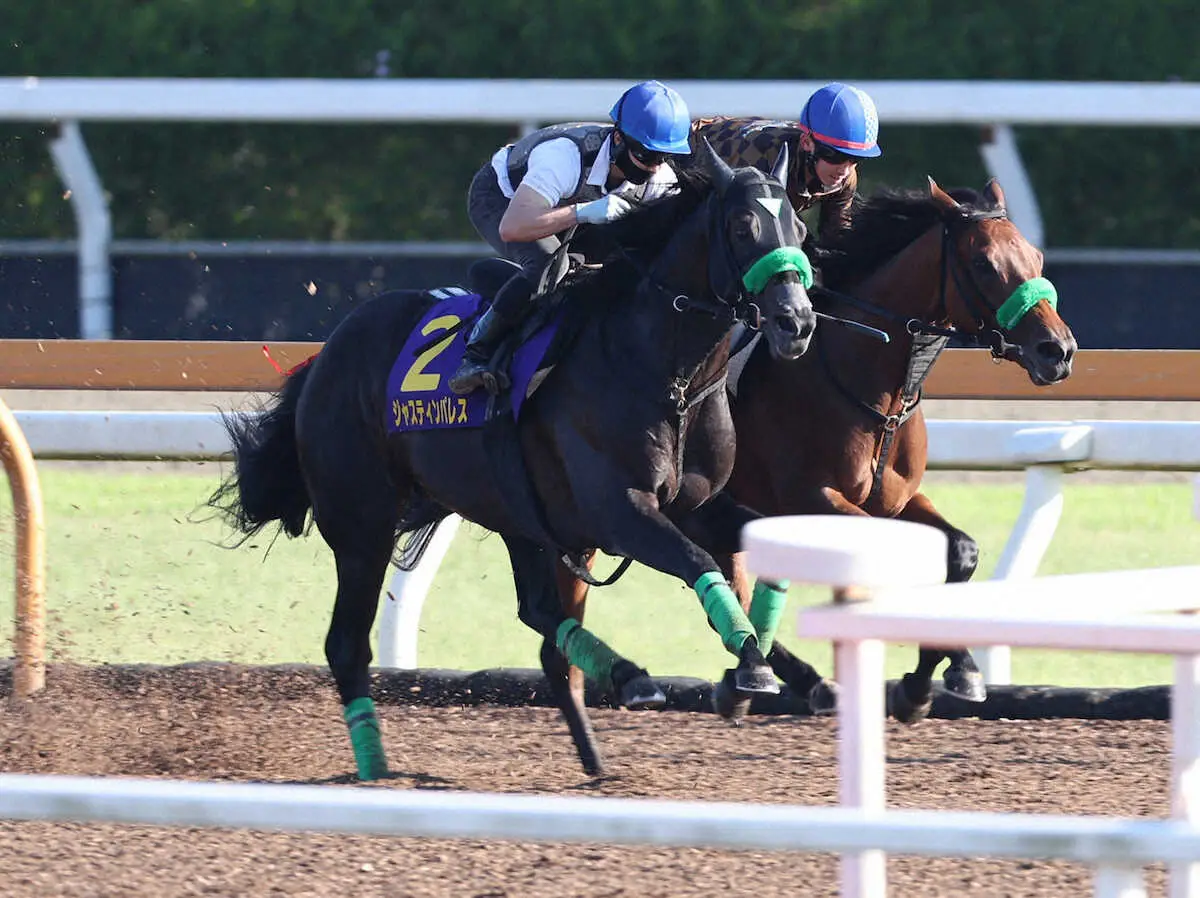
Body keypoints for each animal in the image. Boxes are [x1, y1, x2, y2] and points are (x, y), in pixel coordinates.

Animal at [211, 140, 820, 777]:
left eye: (800, 228)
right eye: (743, 225)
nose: (796, 322)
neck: (665, 372)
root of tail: (324, 356)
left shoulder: (694, 506)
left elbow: (757, 545)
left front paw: (769, 665)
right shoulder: (621, 514)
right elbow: (697, 560)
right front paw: (751, 663)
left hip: (516, 514)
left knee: (539, 615)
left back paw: (613, 705)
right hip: (364, 526)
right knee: (347, 644)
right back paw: (377, 765)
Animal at [552, 175, 1080, 720]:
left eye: (1036, 257)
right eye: (983, 263)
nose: (1057, 351)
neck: (867, 379)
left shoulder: (896, 499)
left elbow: (962, 550)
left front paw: (944, 672)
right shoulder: (814, 498)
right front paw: (929, 674)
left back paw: (755, 679)